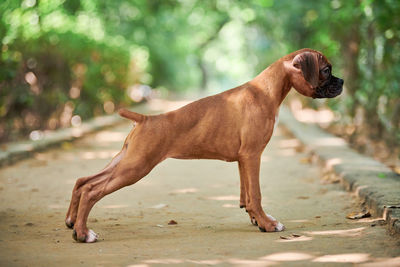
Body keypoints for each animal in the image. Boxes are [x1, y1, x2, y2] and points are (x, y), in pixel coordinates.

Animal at [65, 48, 344, 243]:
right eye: (326, 70)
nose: (341, 82)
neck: (266, 90)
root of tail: (144, 119)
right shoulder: (253, 155)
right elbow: (256, 194)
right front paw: (267, 224)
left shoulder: (244, 159)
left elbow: (246, 194)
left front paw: (256, 219)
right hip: (136, 167)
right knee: (92, 190)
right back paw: (84, 234)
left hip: (124, 161)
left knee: (83, 181)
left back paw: (71, 222)